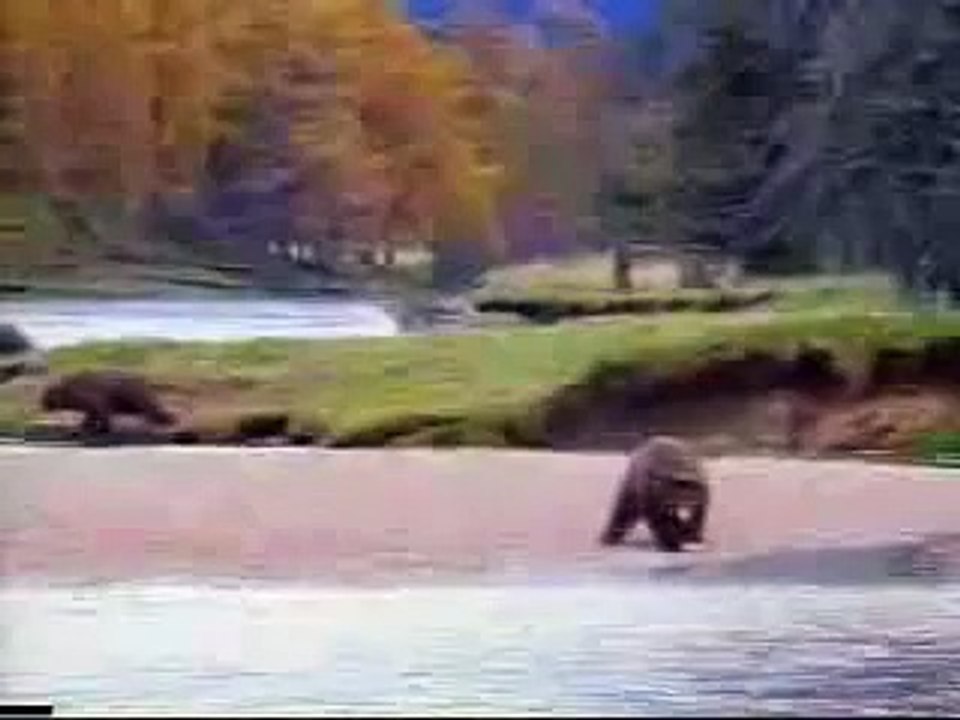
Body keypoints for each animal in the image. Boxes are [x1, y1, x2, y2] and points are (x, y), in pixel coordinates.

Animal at [40, 370, 177, 437]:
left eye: (46, 396)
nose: (41, 405)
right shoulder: (91, 405)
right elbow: (91, 417)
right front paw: (86, 428)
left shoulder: (96, 400)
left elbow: (100, 414)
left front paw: (100, 429)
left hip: (136, 395)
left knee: (151, 410)